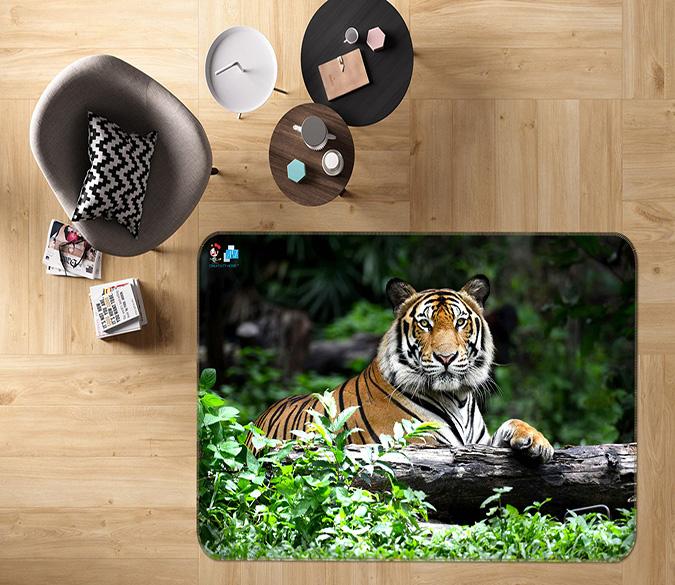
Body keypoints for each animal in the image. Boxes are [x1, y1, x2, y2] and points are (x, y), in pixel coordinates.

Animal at [254, 275, 554, 462]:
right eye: (425, 324)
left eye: (460, 322)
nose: (446, 357)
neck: (457, 398)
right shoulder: (418, 443)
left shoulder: (478, 444)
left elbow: (511, 424)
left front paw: (536, 441)